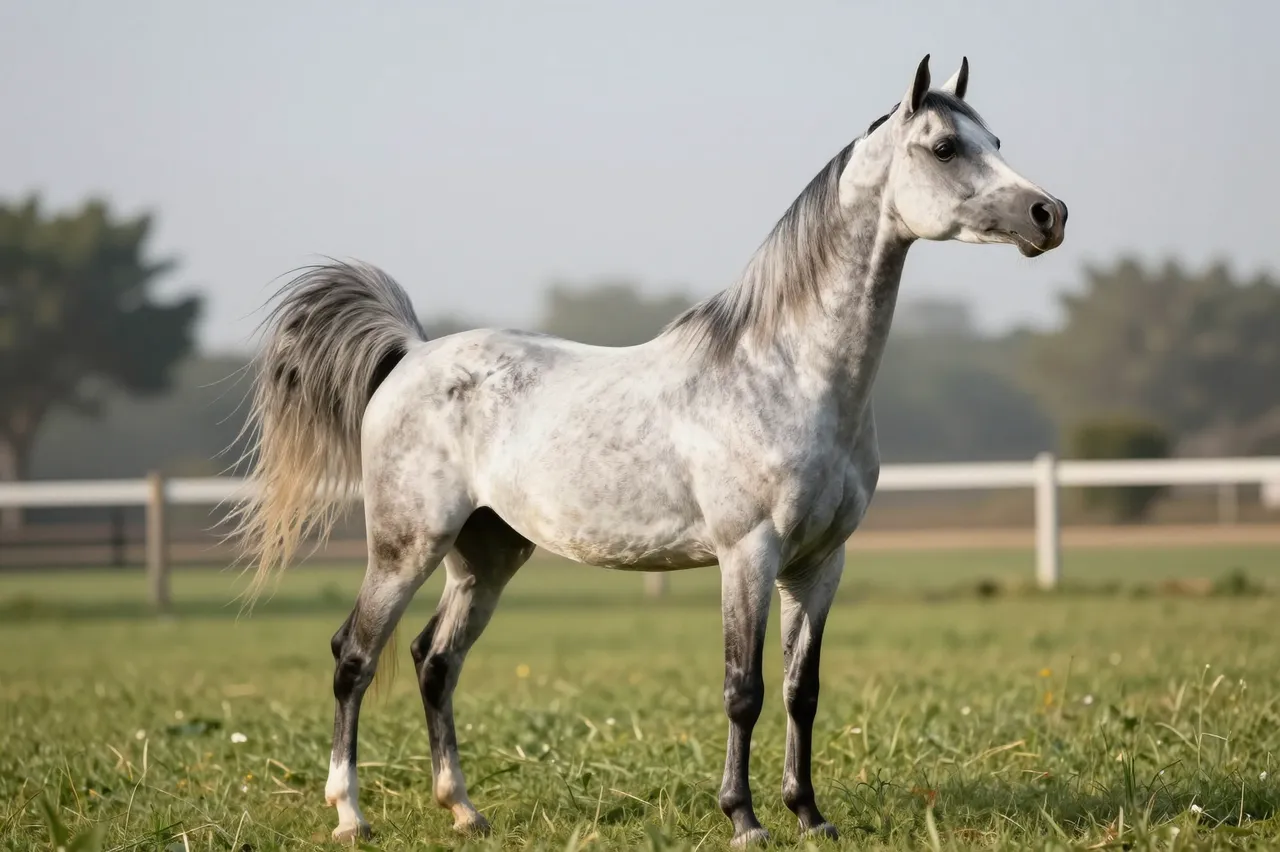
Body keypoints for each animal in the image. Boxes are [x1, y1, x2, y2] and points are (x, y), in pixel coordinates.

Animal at [230, 54, 1067, 847]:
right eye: (946, 147)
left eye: (996, 142)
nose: (1049, 214)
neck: (789, 374)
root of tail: (410, 355)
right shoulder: (748, 553)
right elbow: (743, 688)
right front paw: (744, 819)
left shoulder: (820, 564)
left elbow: (802, 691)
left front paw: (810, 815)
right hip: (407, 546)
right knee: (354, 657)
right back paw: (350, 816)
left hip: (487, 554)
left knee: (435, 663)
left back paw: (464, 812)